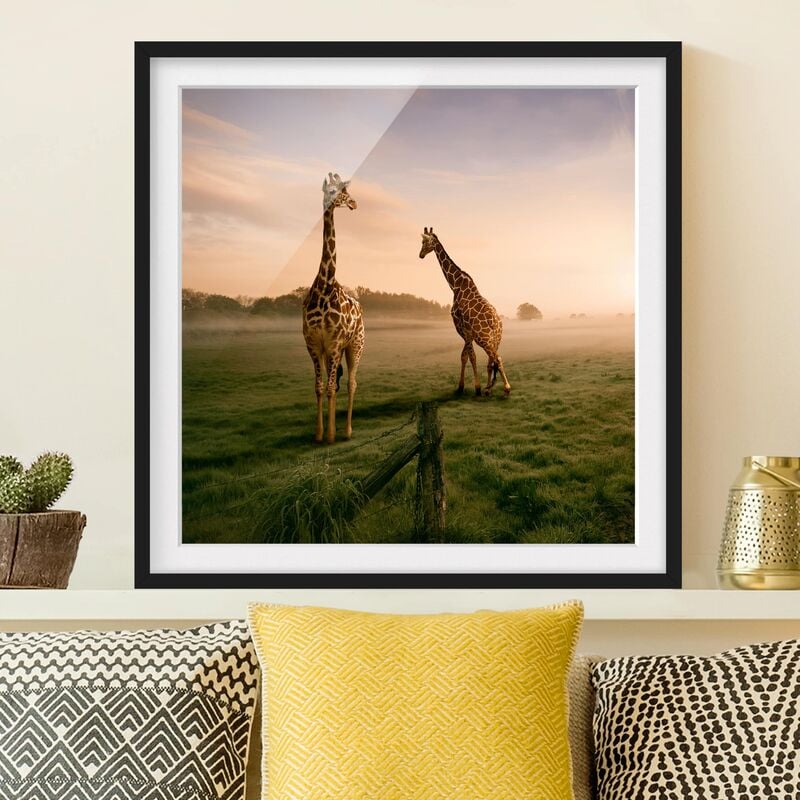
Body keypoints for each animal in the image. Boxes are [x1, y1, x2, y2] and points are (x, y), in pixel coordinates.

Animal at [419, 227, 511, 396]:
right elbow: (465, 355)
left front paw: (474, 387)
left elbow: (469, 356)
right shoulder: (467, 332)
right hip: (496, 338)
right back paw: (489, 389)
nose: (420, 254)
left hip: (484, 338)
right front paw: (468, 386)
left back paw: (506, 388)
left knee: (497, 358)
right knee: (492, 360)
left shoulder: (461, 328)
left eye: (424, 241)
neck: (455, 285)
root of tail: (495, 322)